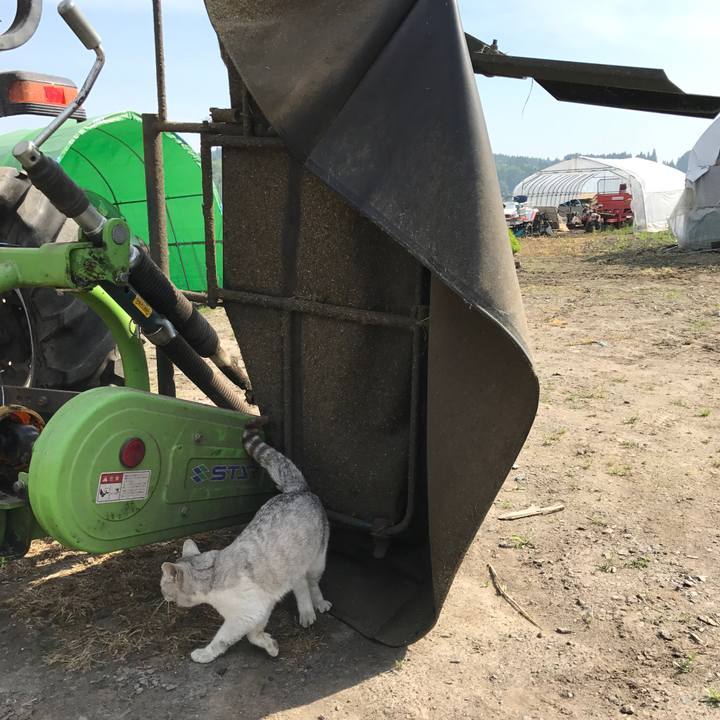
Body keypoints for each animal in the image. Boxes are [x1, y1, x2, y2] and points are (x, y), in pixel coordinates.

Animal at [160, 422, 331, 664]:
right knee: (300, 585)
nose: (163, 596)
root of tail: (296, 490)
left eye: (163, 585)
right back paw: (306, 611)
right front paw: (269, 644)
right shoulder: (261, 608)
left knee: (312, 584)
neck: (212, 576)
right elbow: (254, 634)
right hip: (292, 564)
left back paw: (316, 605)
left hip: (317, 562)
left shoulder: (245, 614)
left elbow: (224, 639)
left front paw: (204, 654)